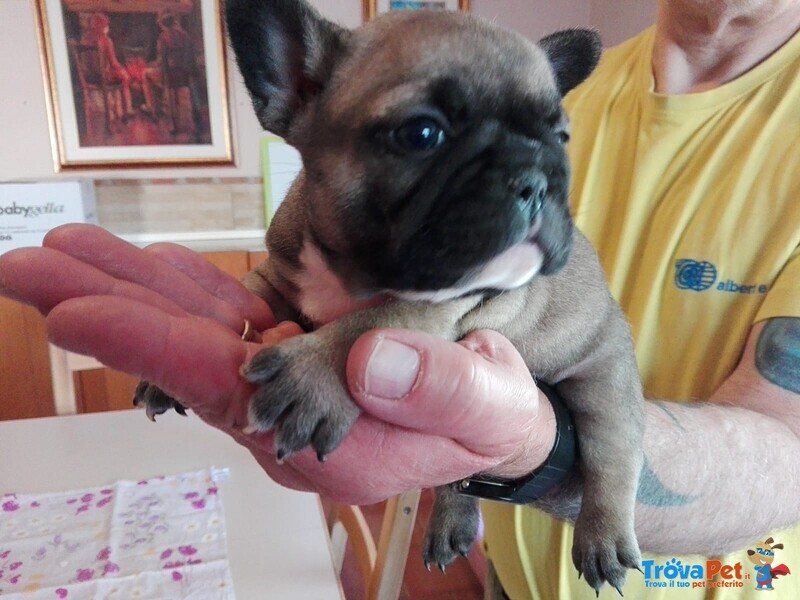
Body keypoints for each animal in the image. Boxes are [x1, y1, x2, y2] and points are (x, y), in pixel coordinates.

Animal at [136, 0, 644, 592]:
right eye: (422, 134)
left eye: (561, 138)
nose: (535, 179)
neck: (351, 272)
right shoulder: (280, 272)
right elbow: (248, 291)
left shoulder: (449, 298)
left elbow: (377, 321)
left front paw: (313, 374)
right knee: (458, 478)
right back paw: (452, 524)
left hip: (606, 378)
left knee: (614, 457)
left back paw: (603, 540)